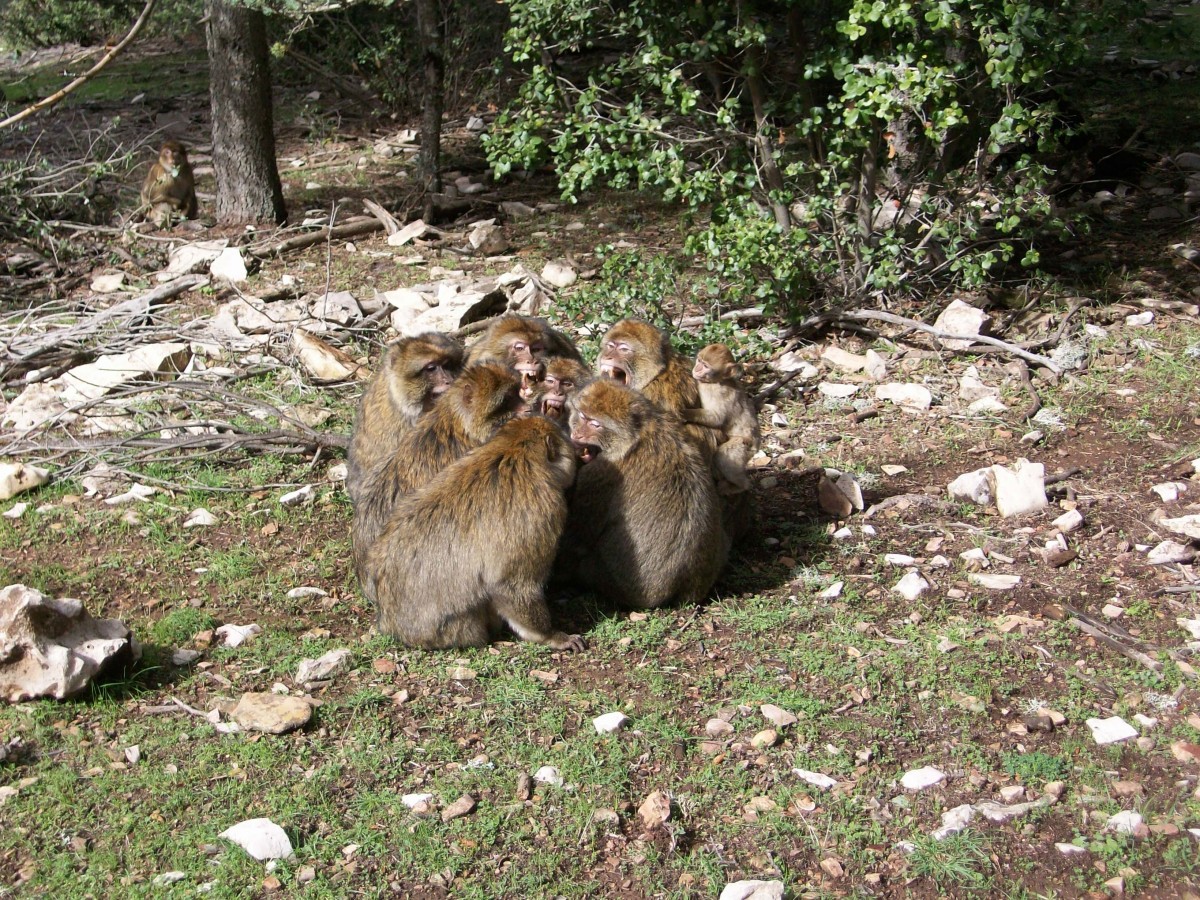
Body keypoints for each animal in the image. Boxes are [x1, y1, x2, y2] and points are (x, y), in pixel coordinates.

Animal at [686, 343, 758, 496]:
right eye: (699, 361)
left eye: (705, 366)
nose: (697, 369)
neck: (717, 381)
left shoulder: (719, 393)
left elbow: (717, 418)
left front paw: (685, 413)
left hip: (744, 446)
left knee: (724, 456)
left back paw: (739, 486)